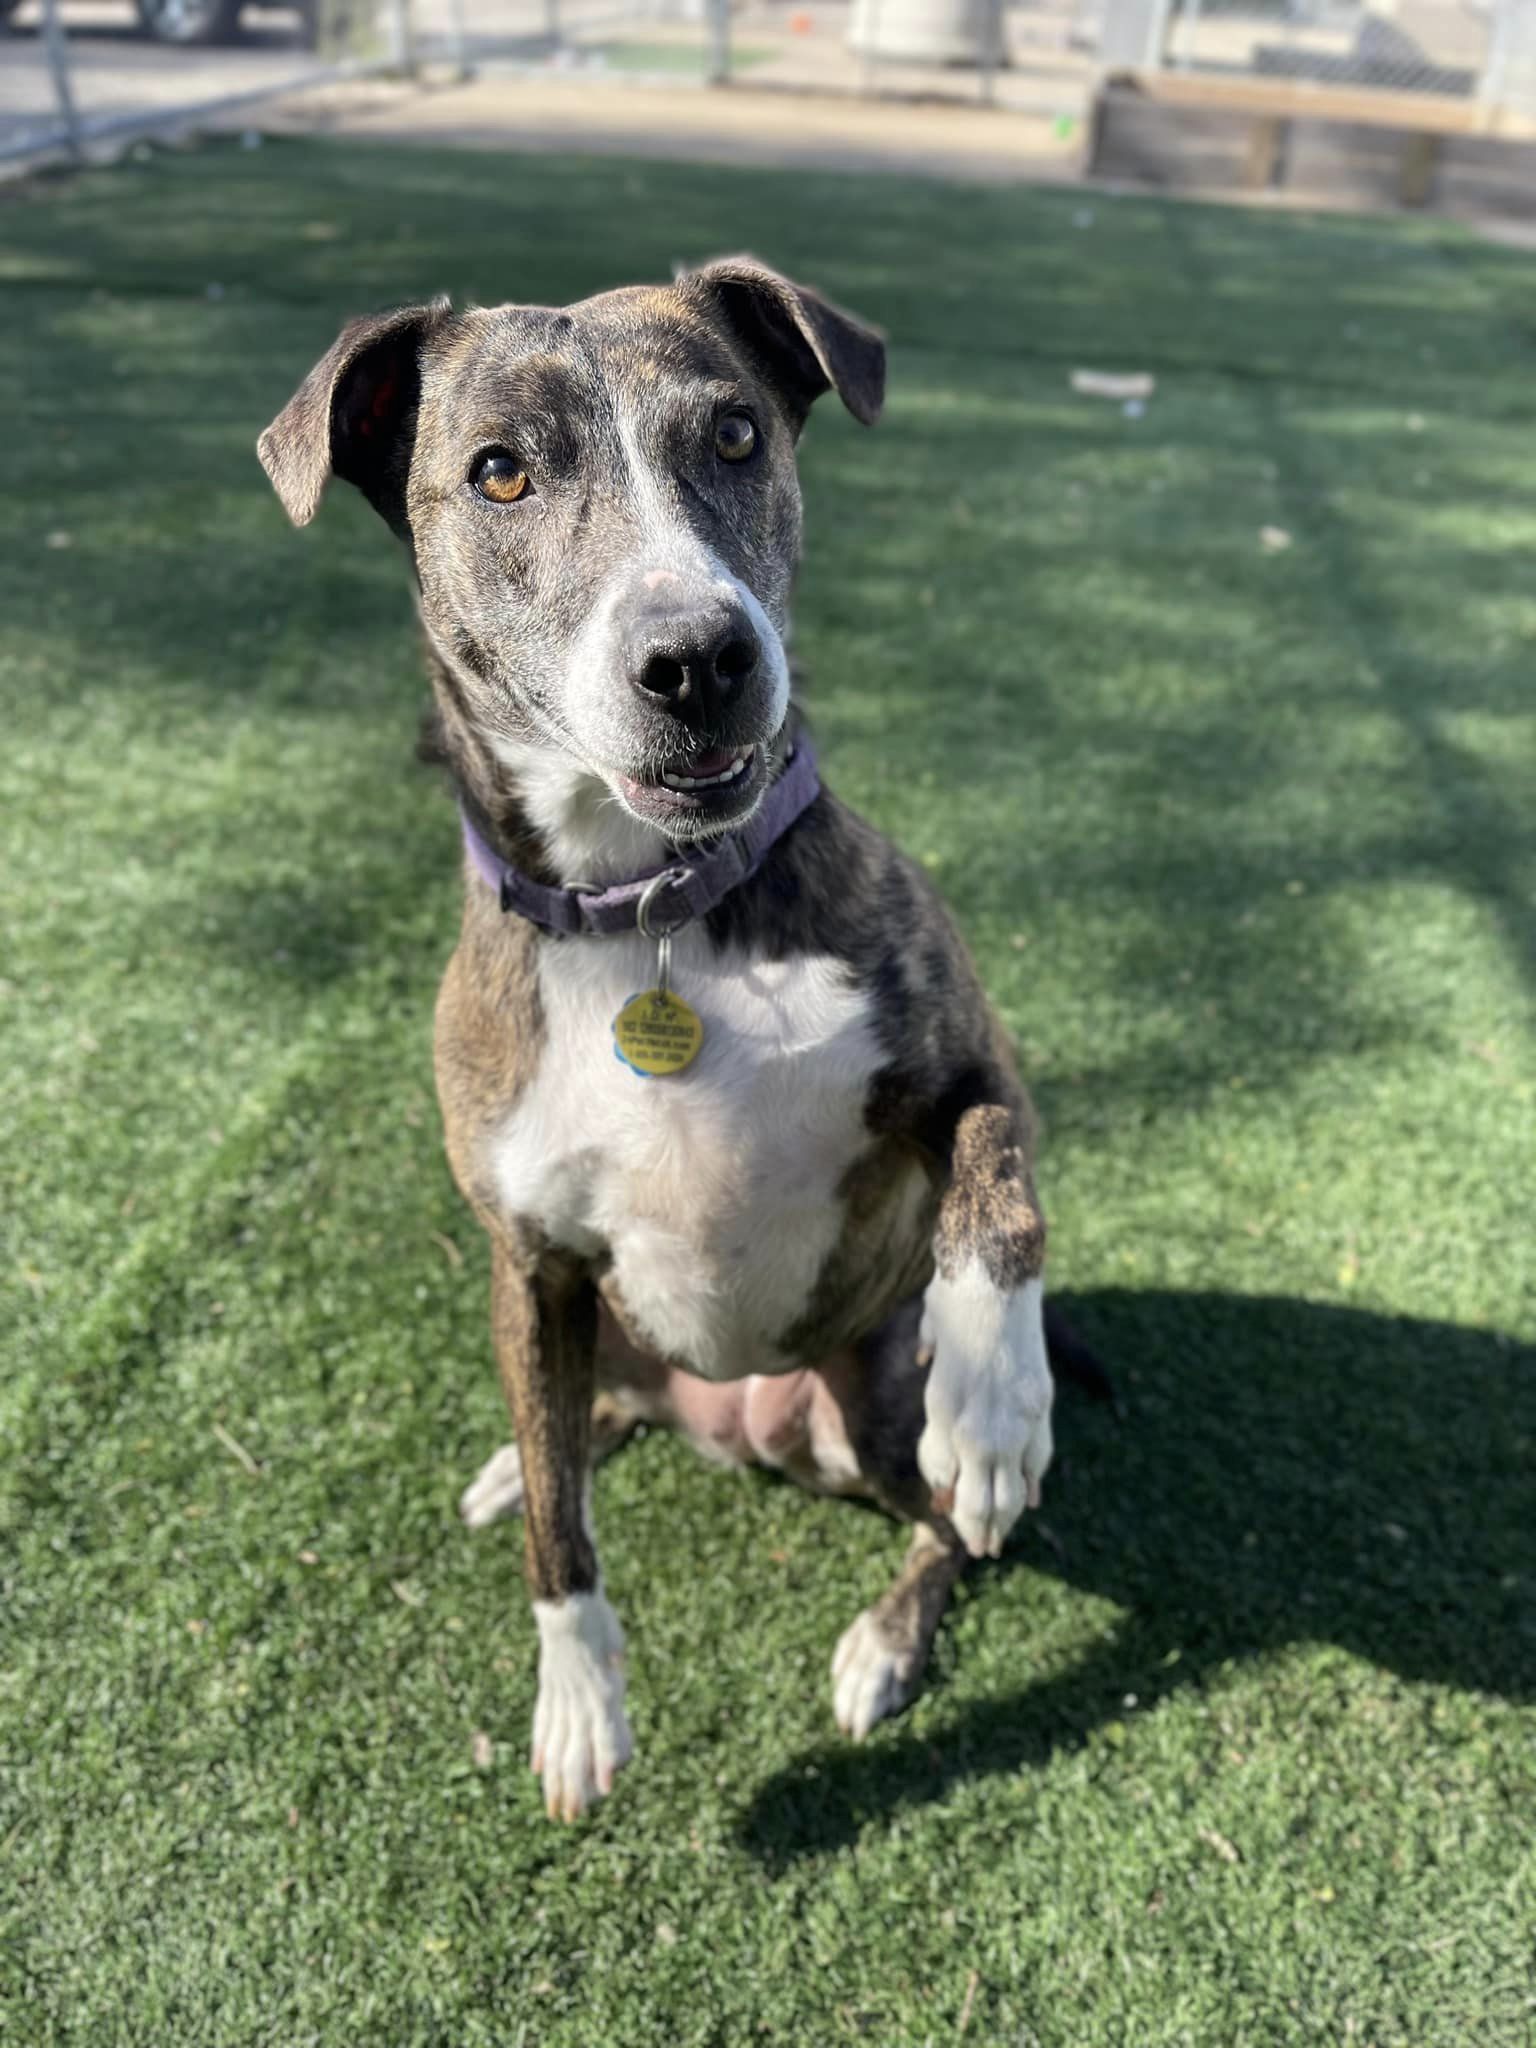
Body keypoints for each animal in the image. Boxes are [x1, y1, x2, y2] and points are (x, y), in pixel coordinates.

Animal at [259, 260, 1081, 1826]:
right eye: (499, 471)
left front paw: (1001, 1401)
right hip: (596, 1329)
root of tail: (733, 1414)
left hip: (864, 1414)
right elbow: (562, 1545)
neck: (648, 911)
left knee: (942, 1531)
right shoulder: (527, 1256)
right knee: (573, 1436)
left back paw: (888, 1635)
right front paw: (578, 1700)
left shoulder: (971, 1060)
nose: (699, 658)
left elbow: (997, 1188)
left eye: (737, 434)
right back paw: (523, 1463)